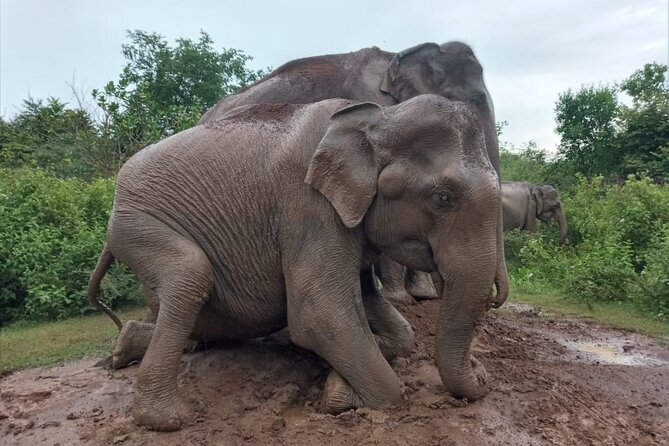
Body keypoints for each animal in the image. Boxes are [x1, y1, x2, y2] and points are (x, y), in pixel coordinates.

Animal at [90, 96, 506, 430]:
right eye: (443, 197)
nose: (483, 374)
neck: (379, 119)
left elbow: (381, 315)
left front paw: (346, 372)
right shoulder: (309, 208)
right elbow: (318, 313)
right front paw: (340, 397)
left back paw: (125, 347)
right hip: (134, 223)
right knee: (189, 274)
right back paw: (164, 419)